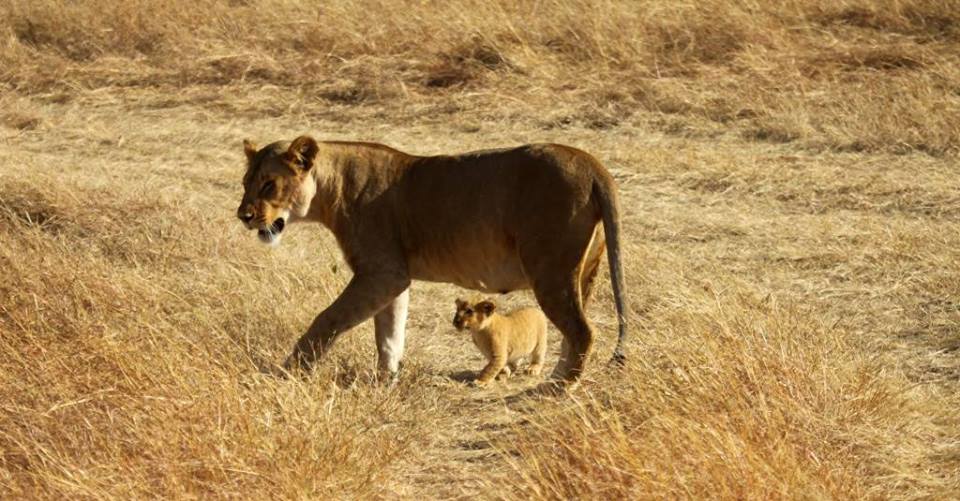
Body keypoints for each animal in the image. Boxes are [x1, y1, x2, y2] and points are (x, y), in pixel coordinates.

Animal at [236, 136, 627, 387]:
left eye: (269, 185)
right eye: (245, 183)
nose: (243, 216)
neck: (333, 189)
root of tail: (593, 165)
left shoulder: (381, 272)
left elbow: (328, 319)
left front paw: (290, 371)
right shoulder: (394, 278)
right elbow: (390, 334)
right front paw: (386, 382)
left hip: (551, 270)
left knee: (583, 331)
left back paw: (557, 388)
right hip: (583, 272)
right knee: (574, 330)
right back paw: (558, 377)